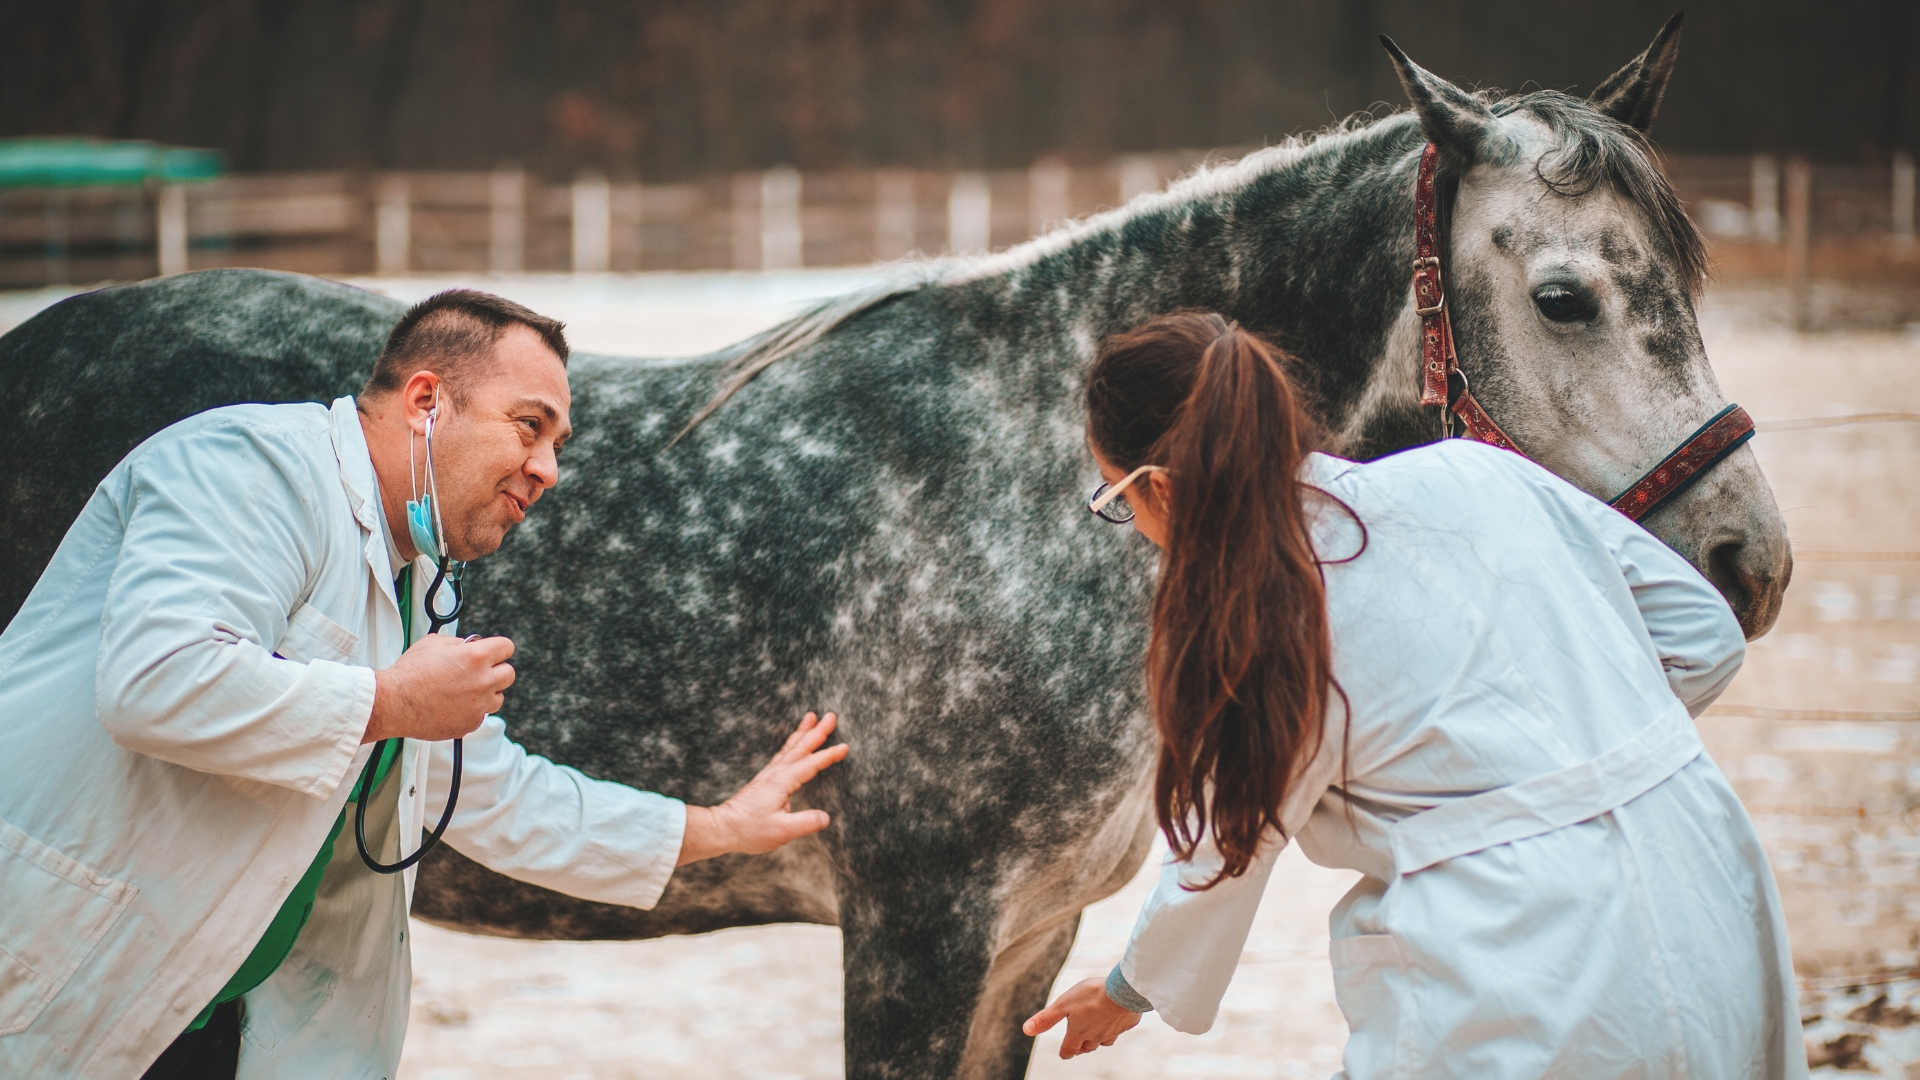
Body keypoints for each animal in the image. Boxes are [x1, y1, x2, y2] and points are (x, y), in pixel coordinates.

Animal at [0, 17, 1788, 1078]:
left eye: (1689, 272)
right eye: (1565, 293)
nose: (1749, 561)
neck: (1024, 486)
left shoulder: (1026, 943)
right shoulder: (917, 932)